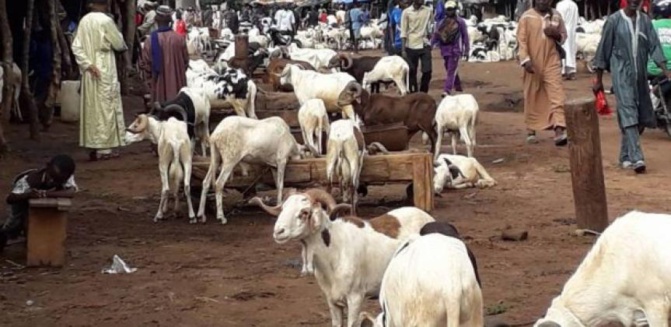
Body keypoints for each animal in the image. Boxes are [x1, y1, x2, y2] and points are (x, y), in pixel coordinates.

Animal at [248, 190, 436, 327]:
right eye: (284, 208)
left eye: (304, 212)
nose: (278, 232)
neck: (335, 252)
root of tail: (427, 217)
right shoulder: (332, 301)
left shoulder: (355, 298)